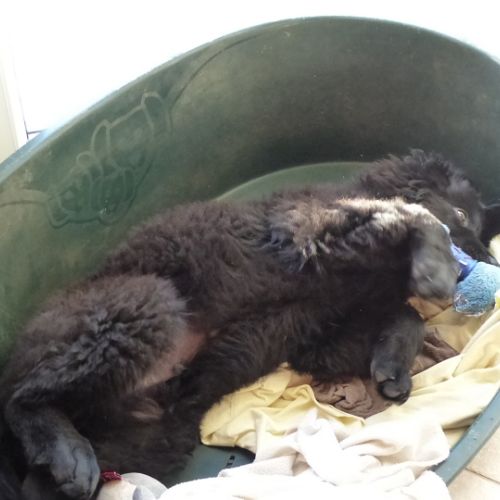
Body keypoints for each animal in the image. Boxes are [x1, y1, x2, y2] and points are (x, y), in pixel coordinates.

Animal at [0, 150, 498, 499]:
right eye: (459, 217)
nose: (479, 266)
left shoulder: (325, 336)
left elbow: (405, 315)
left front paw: (393, 366)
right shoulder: (308, 228)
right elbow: (412, 214)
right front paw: (433, 266)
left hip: (155, 435)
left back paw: (69, 465)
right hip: (143, 307)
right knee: (18, 396)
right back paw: (62, 445)